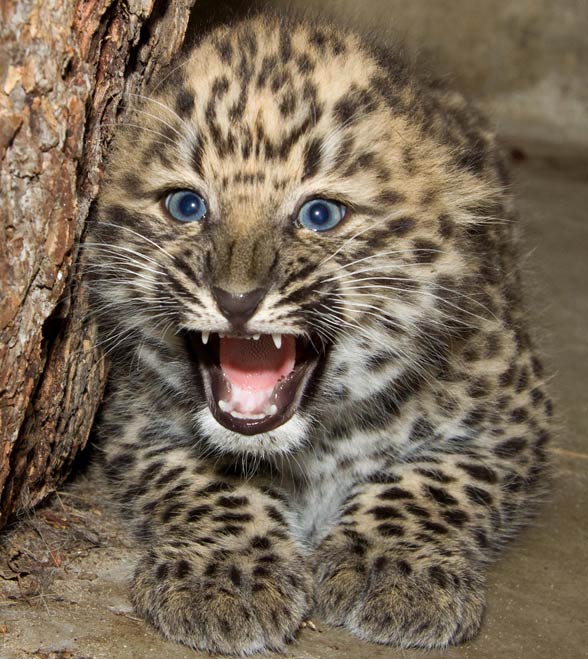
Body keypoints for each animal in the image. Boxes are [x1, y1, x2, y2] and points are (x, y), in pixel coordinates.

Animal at [88, 10, 552, 656]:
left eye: (320, 215)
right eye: (186, 206)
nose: (236, 300)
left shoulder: (509, 423)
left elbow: (431, 484)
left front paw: (393, 569)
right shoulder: (135, 422)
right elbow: (207, 481)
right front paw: (227, 576)